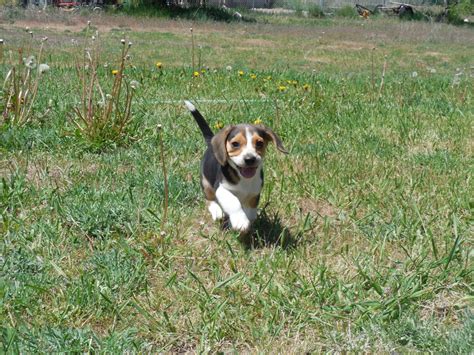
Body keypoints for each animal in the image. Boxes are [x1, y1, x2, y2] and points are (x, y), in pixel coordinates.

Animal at [184, 100, 286, 234]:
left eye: (259, 143)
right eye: (235, 144)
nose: (250, 159)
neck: (243, 179)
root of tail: (211, 141)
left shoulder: (254, 193)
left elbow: (250, 212)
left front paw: (243, 222)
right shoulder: (221, 189)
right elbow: (234, 202)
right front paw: (240, 221)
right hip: (206, 183)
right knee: (209, 199)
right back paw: (217, 211)